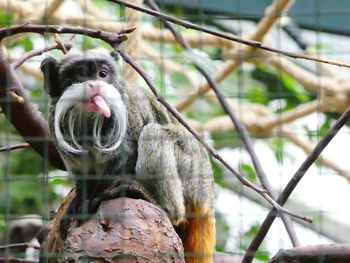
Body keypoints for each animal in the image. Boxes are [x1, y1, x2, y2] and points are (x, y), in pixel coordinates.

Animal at [41, 50, 216, 263]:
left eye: (102, 74)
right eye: (80, 75)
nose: (95, 85)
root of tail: (207, 200)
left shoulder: (128, 110)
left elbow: (127, 155)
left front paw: (98, 195)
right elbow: (81, 172)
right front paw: (78, 202)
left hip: (193, 173)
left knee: (153, 132)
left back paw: (161, 205)